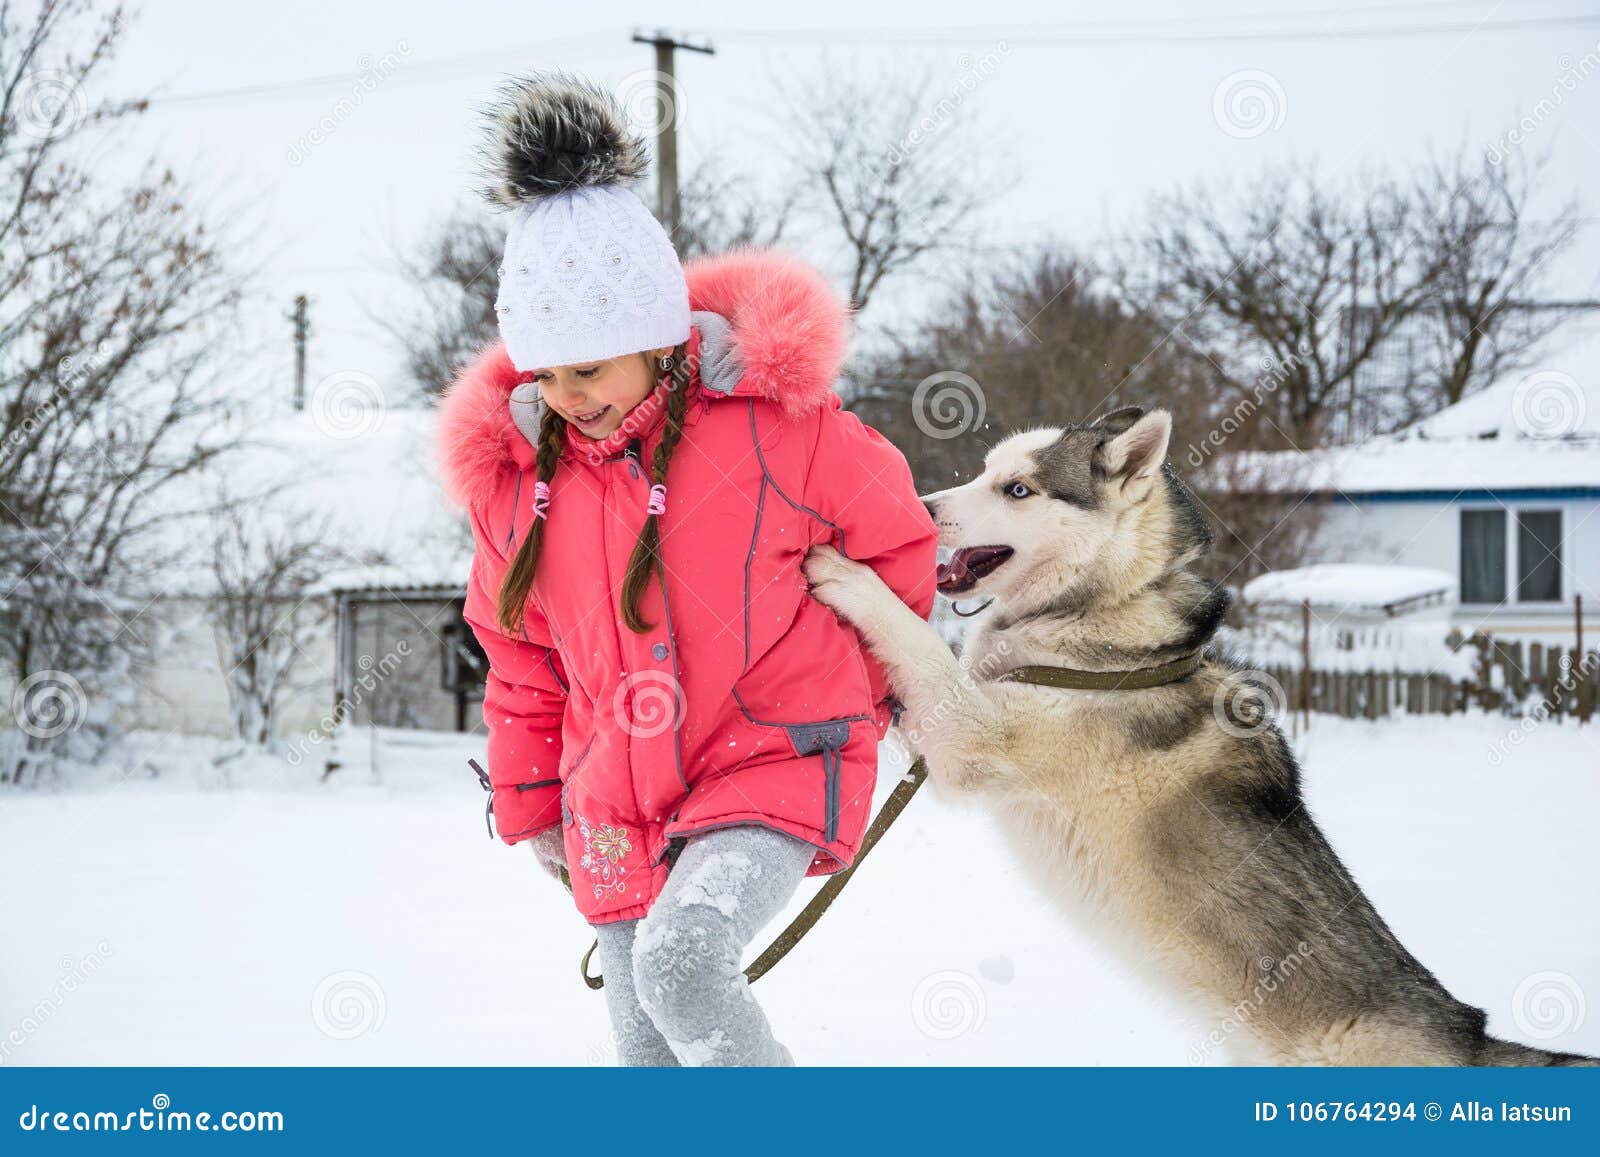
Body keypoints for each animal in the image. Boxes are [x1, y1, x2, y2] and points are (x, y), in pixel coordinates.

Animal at [806, 408, 1593, 1068]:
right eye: (983, 471)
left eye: (1018, 488)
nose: (921, 506)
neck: (1101, 614)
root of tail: (1468, 1032)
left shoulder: (971, 735)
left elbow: (914, 639)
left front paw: (848, 575)